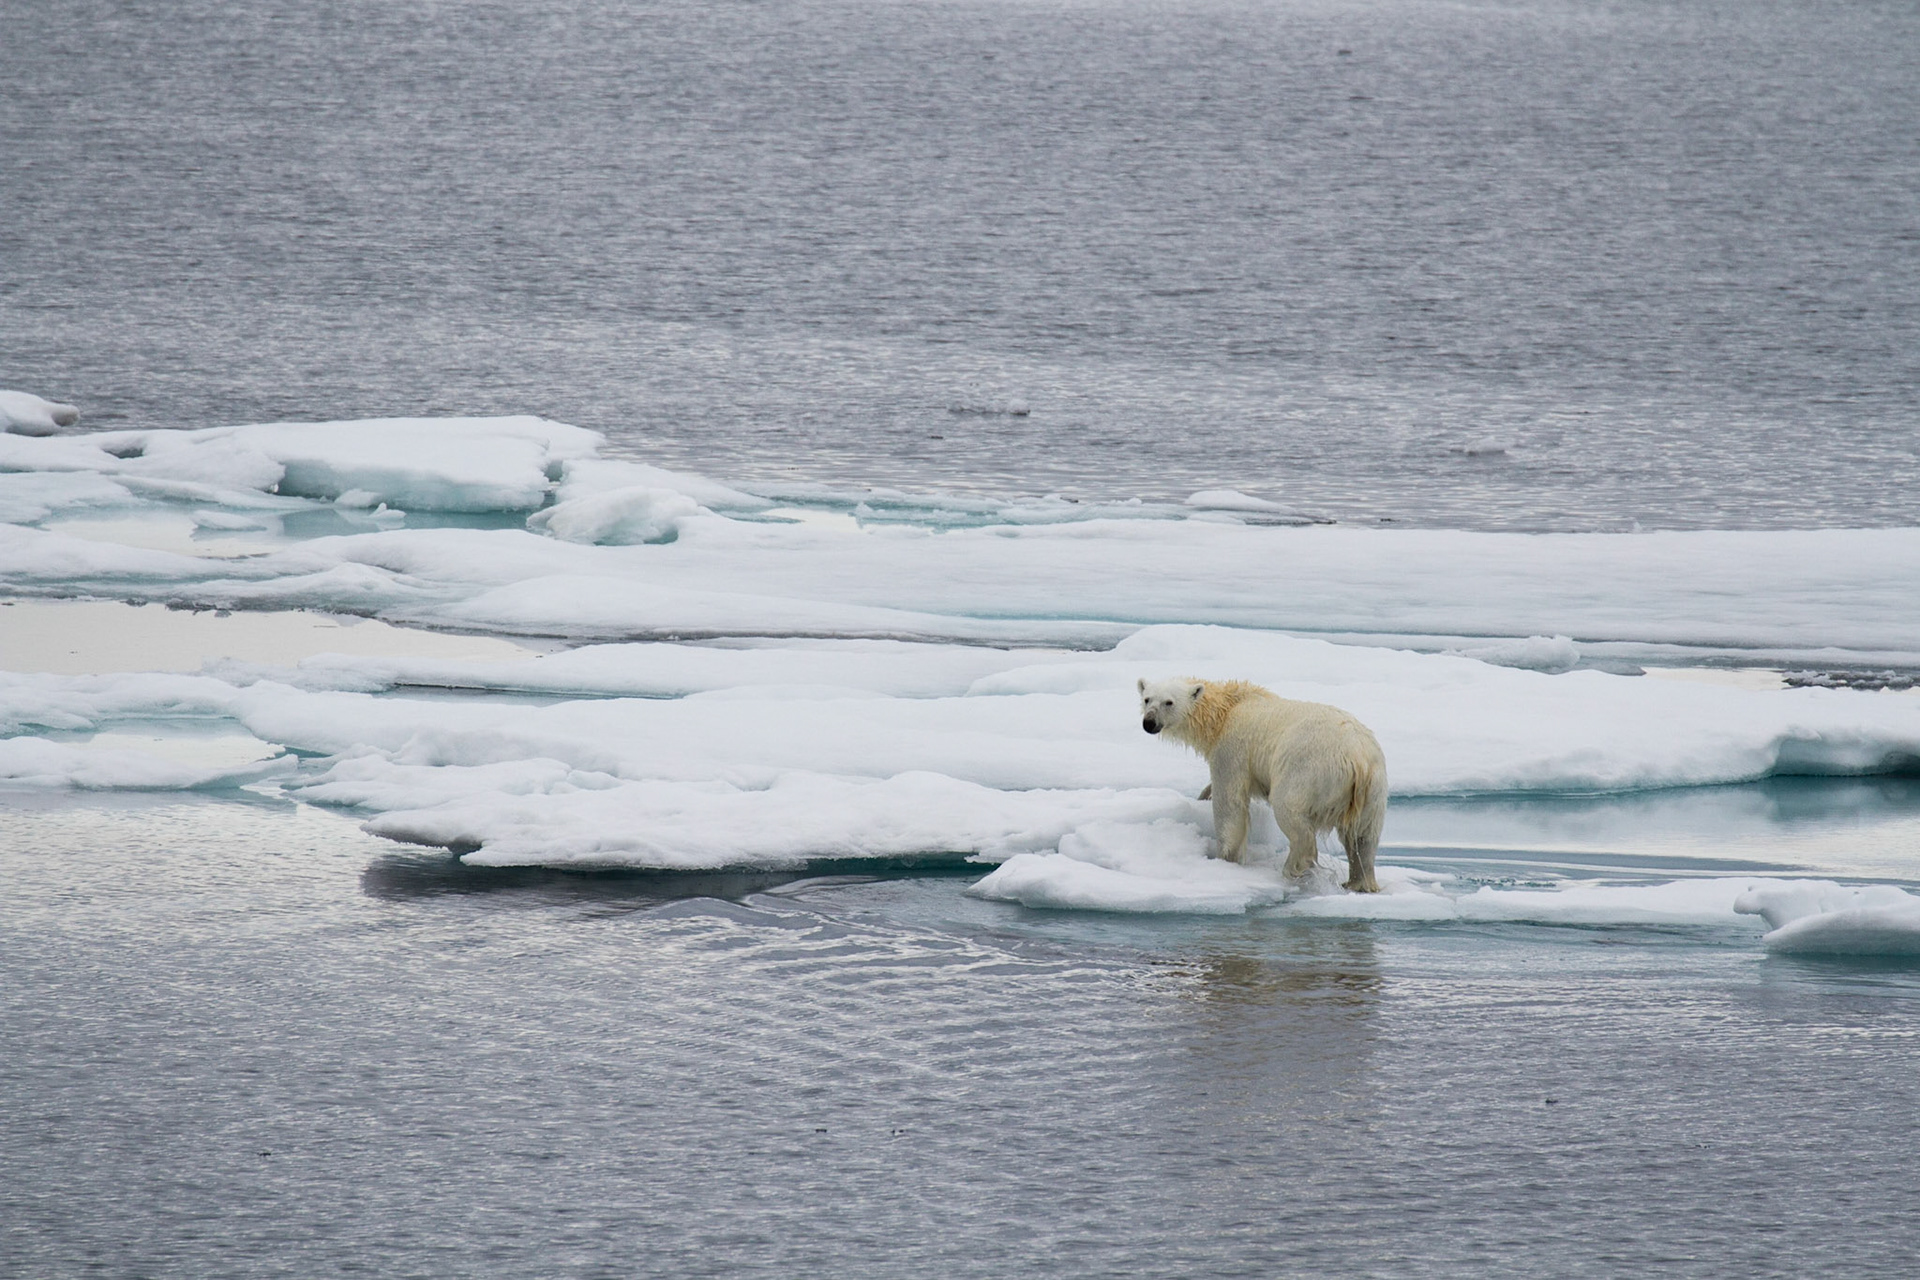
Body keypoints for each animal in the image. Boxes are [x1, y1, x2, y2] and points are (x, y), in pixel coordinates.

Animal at [1139, 677, 1387, 892]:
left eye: (1169, 702)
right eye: (1147, 699)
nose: (1149, 723)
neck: (1226, 711)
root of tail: (1358, 758)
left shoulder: (1233, 748)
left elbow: (1230, 802)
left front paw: (1226, 859)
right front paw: (1203, 796)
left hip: (1308, 769)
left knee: (1291, 813)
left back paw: (1293, 868)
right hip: (1374, 789)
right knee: (1364, 836)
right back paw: (1359, 882)